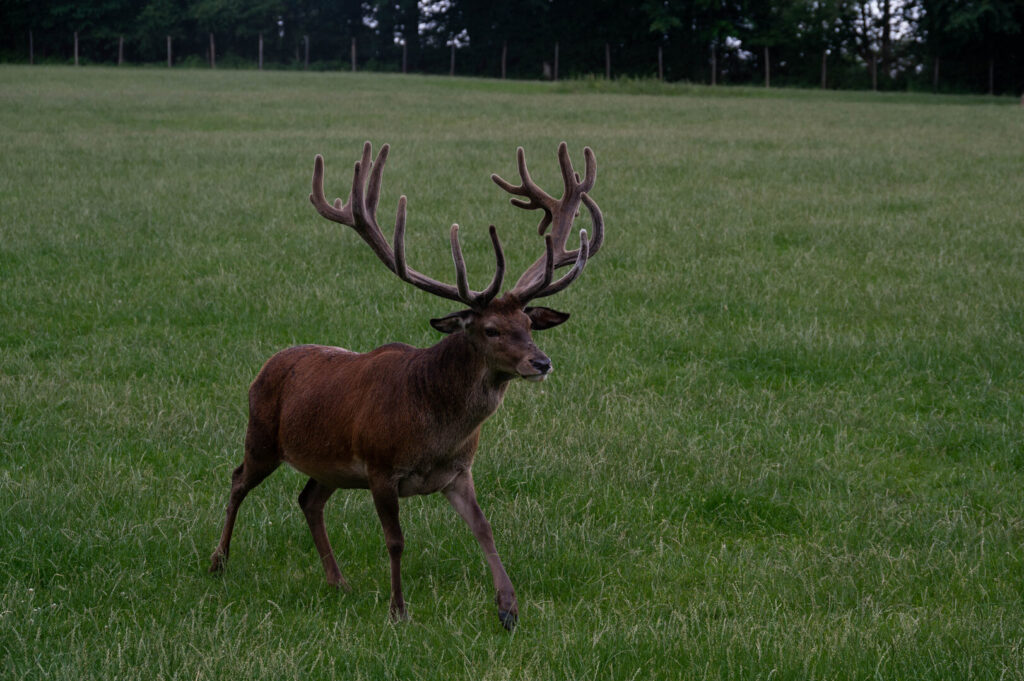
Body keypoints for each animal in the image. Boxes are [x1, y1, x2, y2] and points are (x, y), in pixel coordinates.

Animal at [210, 140, 602, 630]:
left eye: (529, 323)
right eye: (490, 329)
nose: (541, 362)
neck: (434, 431)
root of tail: (266, 365)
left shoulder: (459, 471)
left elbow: (484, 528)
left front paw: (508, 608)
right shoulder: (381, 468)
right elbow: (395, 540)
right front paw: (398, 610)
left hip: (331, 465)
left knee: (308, 499)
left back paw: (337, 580)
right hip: (262, 434)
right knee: (238, 479)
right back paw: (219, 561)